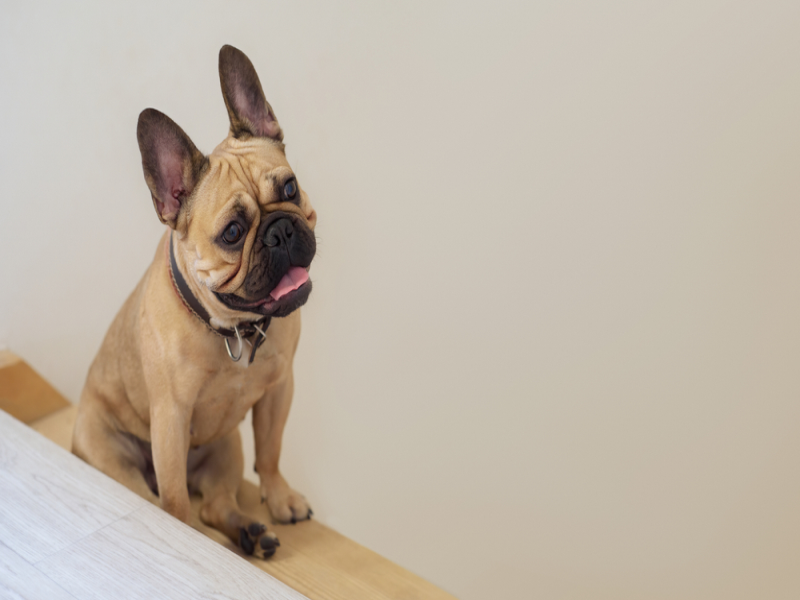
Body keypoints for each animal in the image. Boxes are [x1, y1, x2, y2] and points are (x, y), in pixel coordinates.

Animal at [71, 45, 316, 556]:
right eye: (233, 232)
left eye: (289, 188)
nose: (281, 230)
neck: (233, 328)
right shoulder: (170, 417)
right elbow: (176, 501)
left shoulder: (279, 388)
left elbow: (272, 450)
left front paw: (280, 498)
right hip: (117, 461)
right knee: (163, 499)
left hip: (226, 449)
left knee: (215, 503)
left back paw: (250, 532)